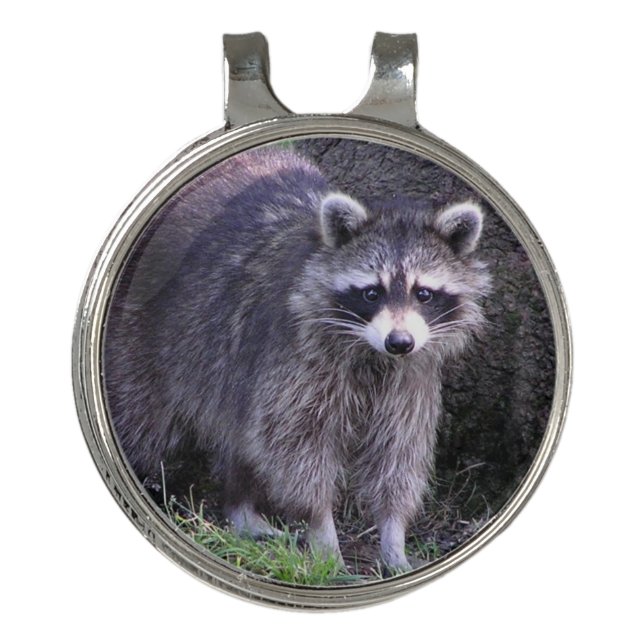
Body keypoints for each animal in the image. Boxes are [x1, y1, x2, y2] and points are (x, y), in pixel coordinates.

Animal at [104, 146, 491, 571]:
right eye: (371, 293)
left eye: (424, 293)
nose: (399, 341)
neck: (369, 352)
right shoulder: (295, 358)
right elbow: (295, 448)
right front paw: (323, 532)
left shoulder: (409, 377)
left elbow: (398, 453)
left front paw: (393, 536)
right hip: (146, 335)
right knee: (143, 420)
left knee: (241, 434)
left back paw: (241, 507)